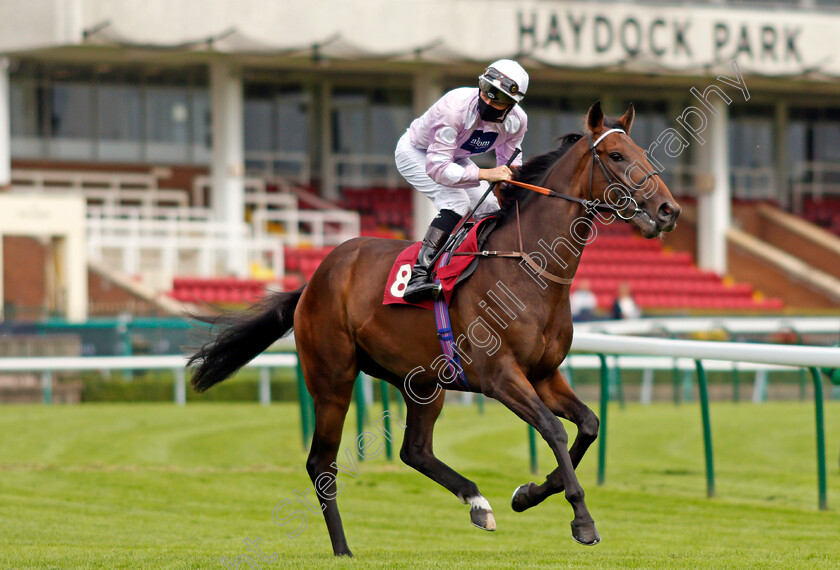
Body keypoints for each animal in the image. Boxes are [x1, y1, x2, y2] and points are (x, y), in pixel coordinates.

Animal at [187, 102, 680, 556]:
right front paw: (581, 519)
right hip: (333, 378)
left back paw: (478, 502)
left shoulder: (544, 374)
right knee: (320, 463)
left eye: (642, 152)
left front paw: (527, 494)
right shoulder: (500, 376)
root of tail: (313, 279)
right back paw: (343, 548)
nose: (668, 210)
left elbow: (589, 425)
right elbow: (554, 430)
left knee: (414, 450)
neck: (529, 268)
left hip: (422, 380)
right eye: (615, 155)